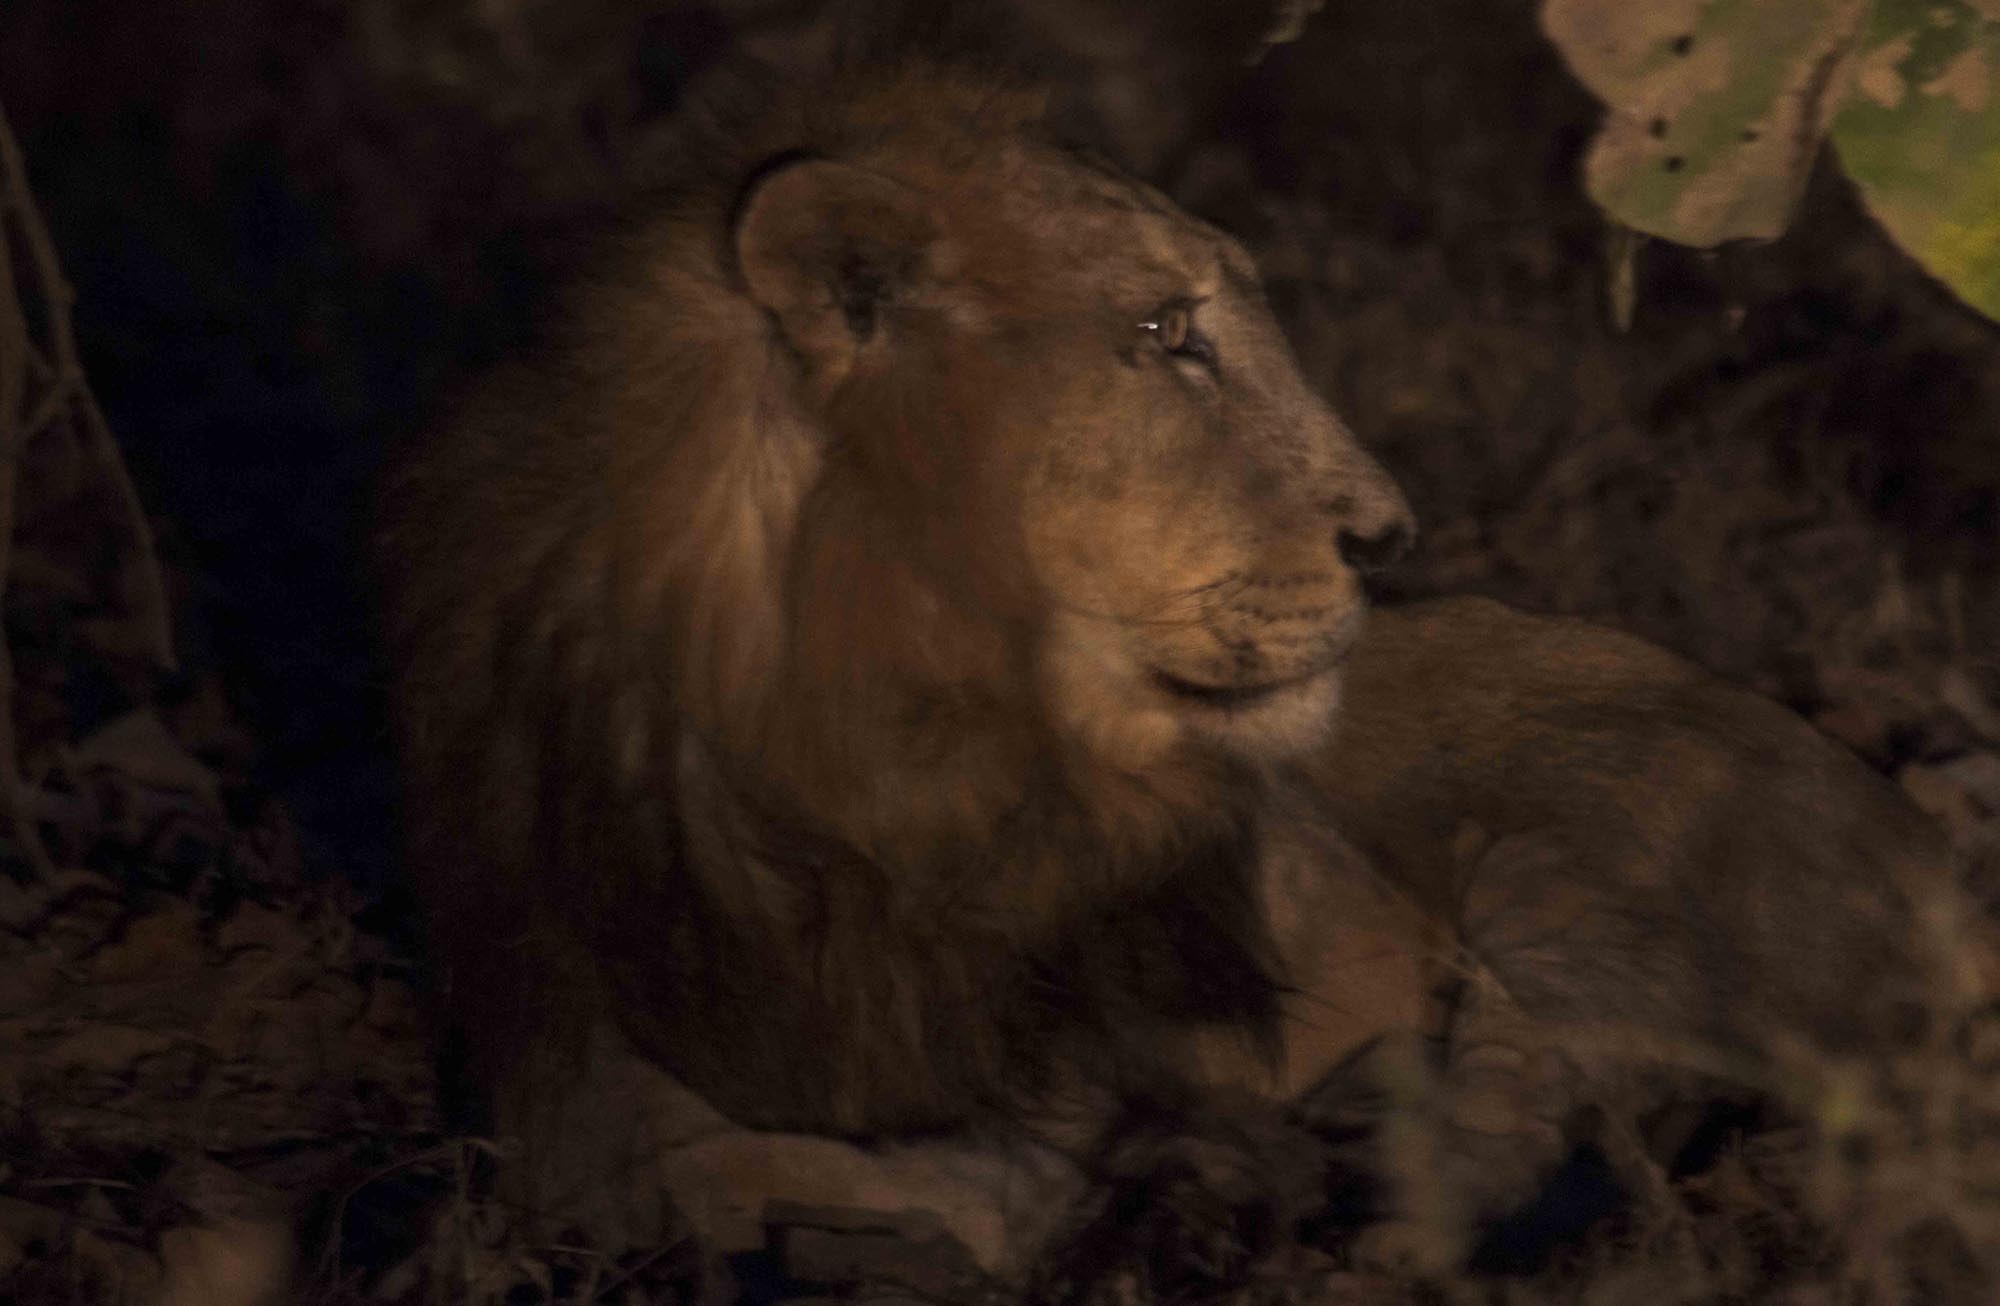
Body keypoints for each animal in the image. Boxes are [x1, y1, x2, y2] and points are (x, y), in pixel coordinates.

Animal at [376, 48, 1968, 1280]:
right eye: (1165, 334)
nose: (1390, 535)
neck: (926, 776)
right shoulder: (584, 1078)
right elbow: (696, 1169)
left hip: (1574, 851)